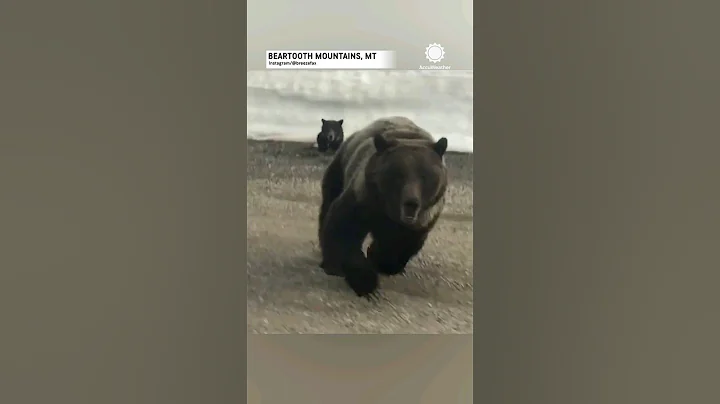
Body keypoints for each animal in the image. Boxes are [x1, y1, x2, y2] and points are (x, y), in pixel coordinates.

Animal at [317, 116, 449, 299]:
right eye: (399, 174)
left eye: (425, 176)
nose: (411, 202)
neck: (390, 211)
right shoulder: (364, 199)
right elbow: (343, 230)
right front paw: (364, 280)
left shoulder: (423, 218)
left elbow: (402, 244)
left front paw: (379, 259)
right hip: (340, 167)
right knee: (329, 202)